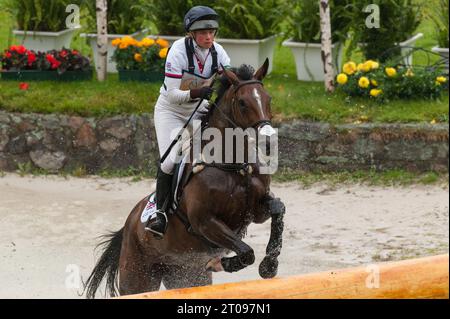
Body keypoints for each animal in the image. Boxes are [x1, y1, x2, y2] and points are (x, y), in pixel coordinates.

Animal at [84, 58, 284, 298]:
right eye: (243, 102)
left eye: (268, 99)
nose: (268, 142)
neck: (232, 167)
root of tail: (127, 226)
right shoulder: (204, 222)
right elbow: (246, 252)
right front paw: (218, 263)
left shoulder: (255, 211)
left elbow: (278, 209)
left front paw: (270, 265)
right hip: (137, 277)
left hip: (183, 274)